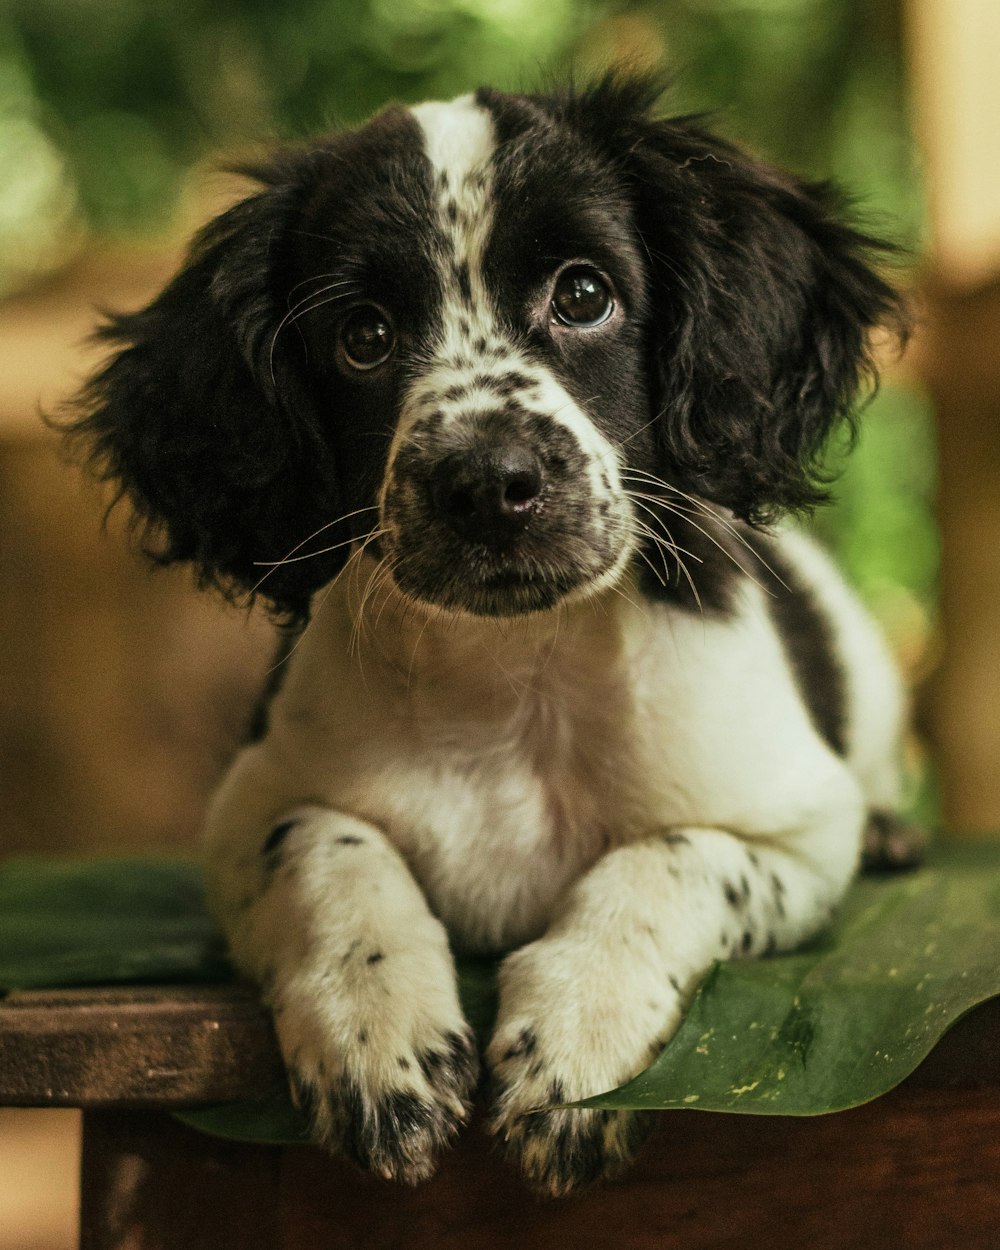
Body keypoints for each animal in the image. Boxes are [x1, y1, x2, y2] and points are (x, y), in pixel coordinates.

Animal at [64, 75, 915, 1190]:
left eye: (584, 294)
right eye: (364, 336)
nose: (487, 482)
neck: (518, 674)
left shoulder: (797, 829)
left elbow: (668, 859)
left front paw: (581, 1038)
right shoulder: (247, 808)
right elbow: (326, 846)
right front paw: (375, 1032)